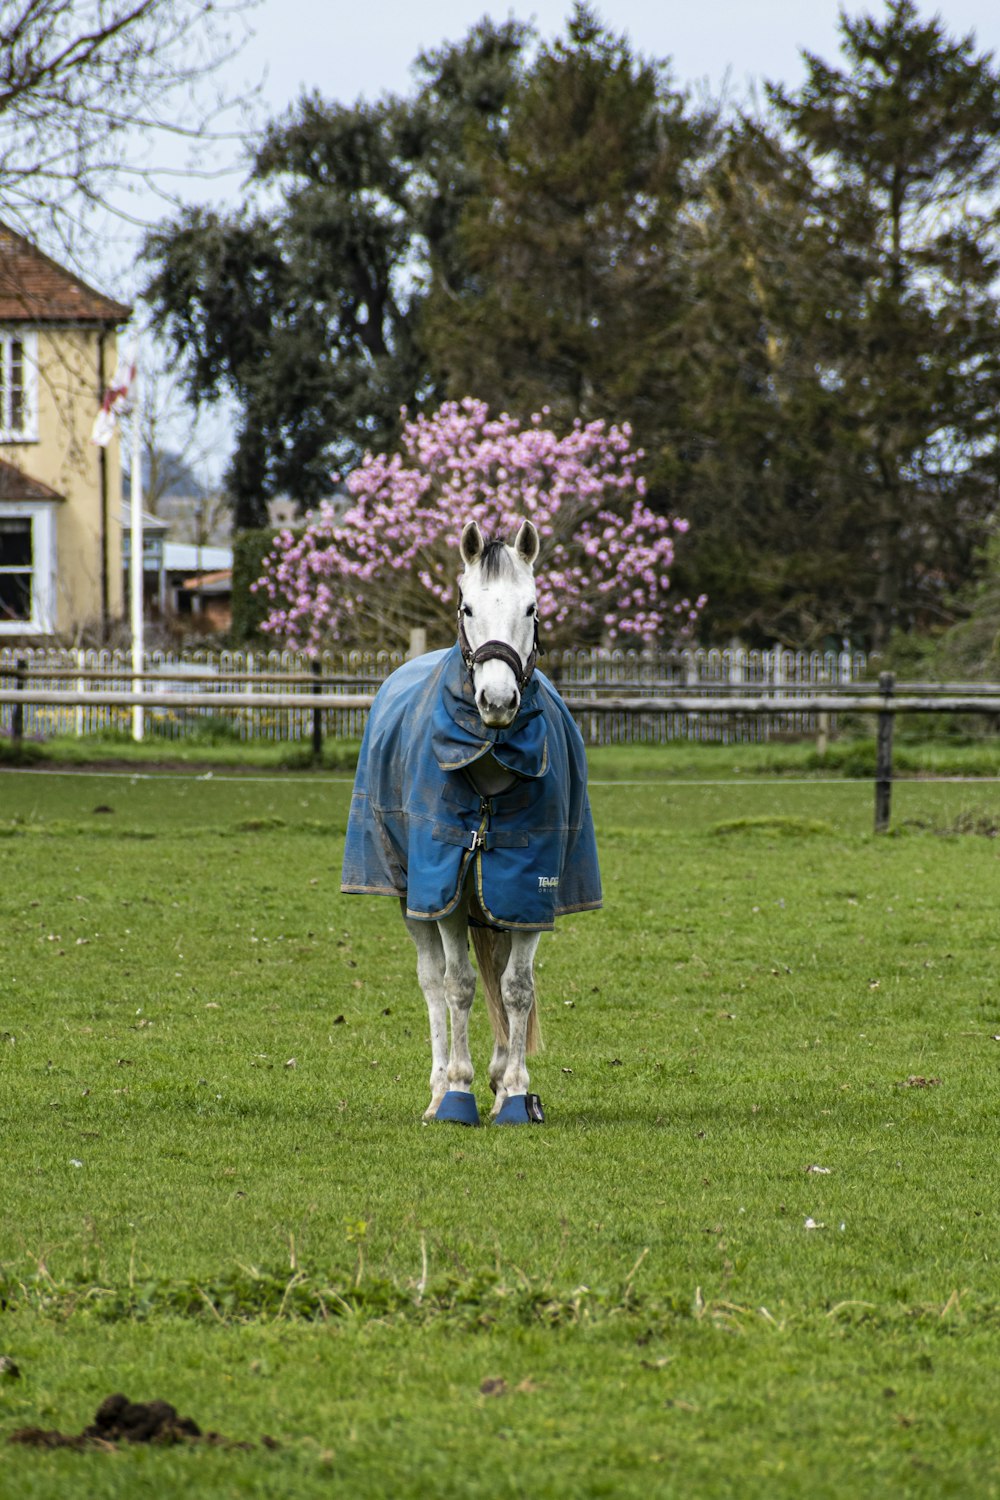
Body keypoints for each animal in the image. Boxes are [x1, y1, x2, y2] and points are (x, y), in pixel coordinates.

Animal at [340, 522, 602, 1122]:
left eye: (532, 608)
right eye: (467, 607)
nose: (498, 699)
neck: (488, 757)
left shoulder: (525, 890)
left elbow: (517, 988)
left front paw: (515, 1092)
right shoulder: (448, 887)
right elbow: (457, 985)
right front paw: (458, 1091)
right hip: (413, 896)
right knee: (433, 982)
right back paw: (439, 1088)